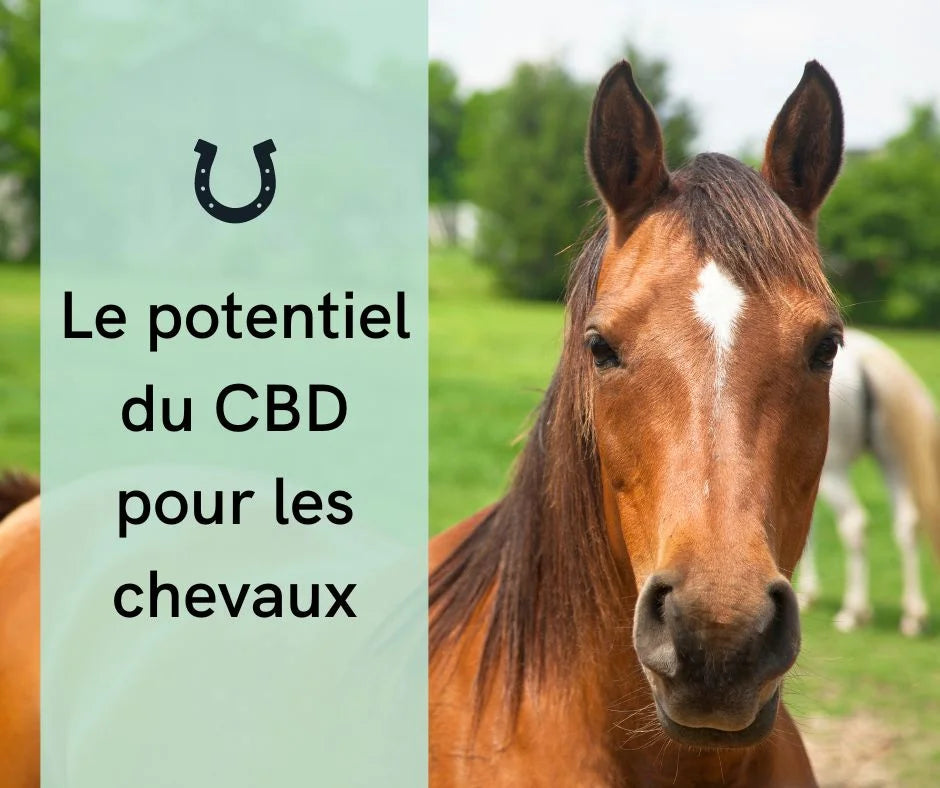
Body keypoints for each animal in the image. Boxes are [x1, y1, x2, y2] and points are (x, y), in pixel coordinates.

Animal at [797, 329, 940, 636]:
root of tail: (867, 358)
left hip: (834, 469)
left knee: (854, 523)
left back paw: (855, 611)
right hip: (892, 461)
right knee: (907, 524)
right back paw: (913, 616)